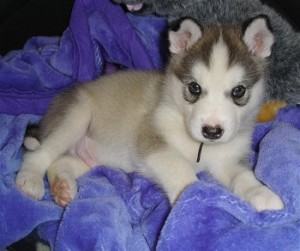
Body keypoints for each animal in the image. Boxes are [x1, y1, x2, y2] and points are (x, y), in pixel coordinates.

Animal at [15, 16, 284, 211]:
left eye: (238, 91)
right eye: (194, 88)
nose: (212, 131)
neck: (199, 146)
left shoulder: (228, 159)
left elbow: (243, 177)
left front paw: (263, 195)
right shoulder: (152, 141)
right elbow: (181, 169)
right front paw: (193, 199)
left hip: (90, 157)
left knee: (59, 162)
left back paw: (62, 187)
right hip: (76, 116)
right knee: (40, 153)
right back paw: (30, 180)